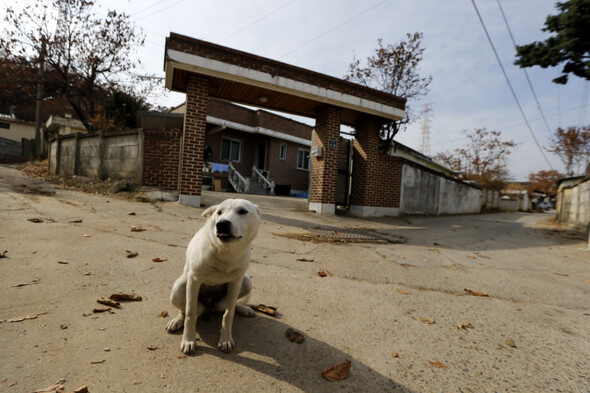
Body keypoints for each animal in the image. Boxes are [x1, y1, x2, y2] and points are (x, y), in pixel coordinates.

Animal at [165, 198, 260, 354]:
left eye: (243, 211)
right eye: (219, 212)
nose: (221, 224)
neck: (225, 251)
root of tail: (209, 306)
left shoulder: (236, 281)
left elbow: (228, 314)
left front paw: (225, 339)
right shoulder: (194, 280)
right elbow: (190, 314)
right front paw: (188, 340)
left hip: (246, 282)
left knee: (231, 305)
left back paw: (242, 308)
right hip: (180, 286)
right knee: (184, 310)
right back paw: (177, 320)